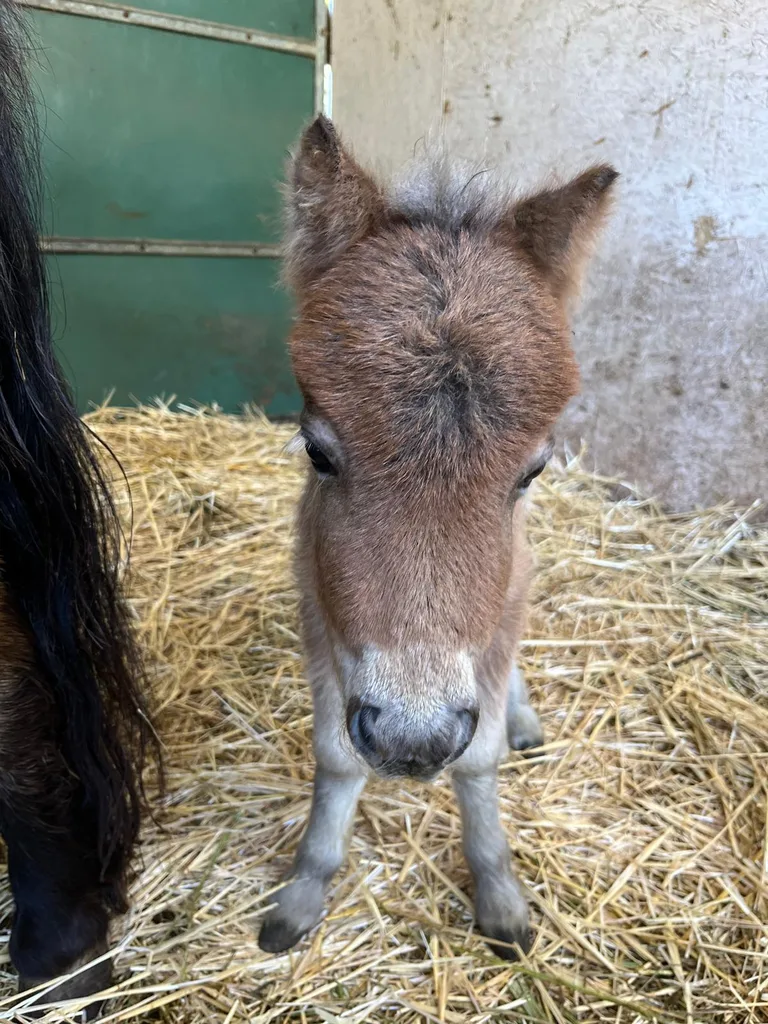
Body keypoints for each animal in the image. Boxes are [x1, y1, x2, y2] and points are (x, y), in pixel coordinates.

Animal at [258, 115, 617, 958]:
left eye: (533, 469)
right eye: (317, 450)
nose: (412, 738)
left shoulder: (499, 610)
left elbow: (479, 761)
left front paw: (499, 894)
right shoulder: (320, 611)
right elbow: (335, 755)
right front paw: (305, 888)